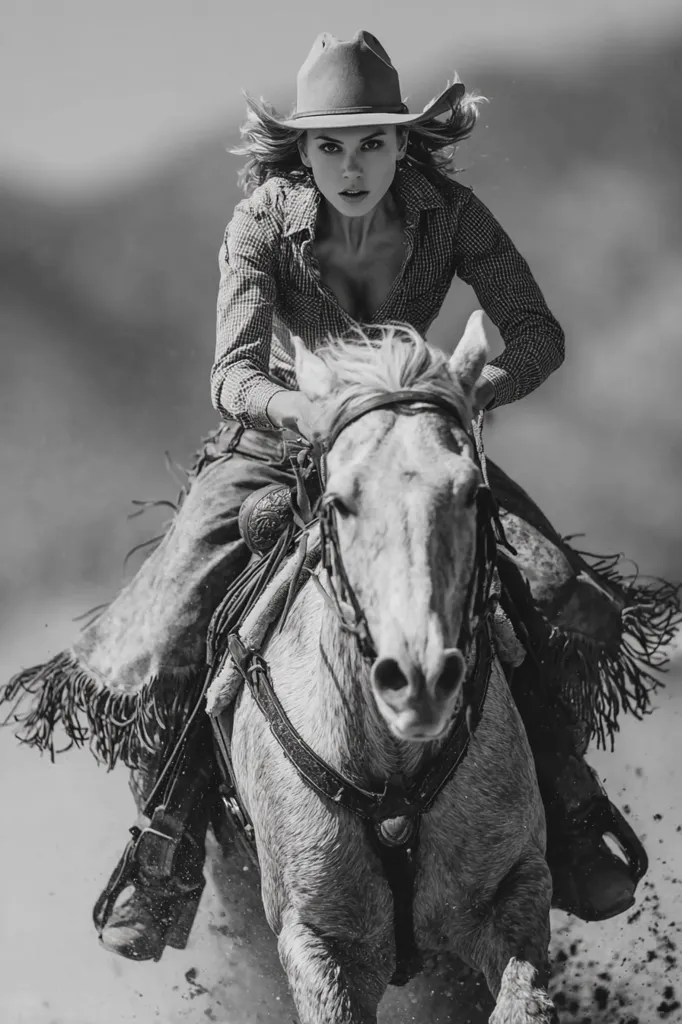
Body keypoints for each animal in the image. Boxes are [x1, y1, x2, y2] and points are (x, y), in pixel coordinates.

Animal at [211, 311, 558, 1024]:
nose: (419, 682)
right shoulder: (320, 946)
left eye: (473, 492)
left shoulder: (516, 889)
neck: (394, 774)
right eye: (340, 501)